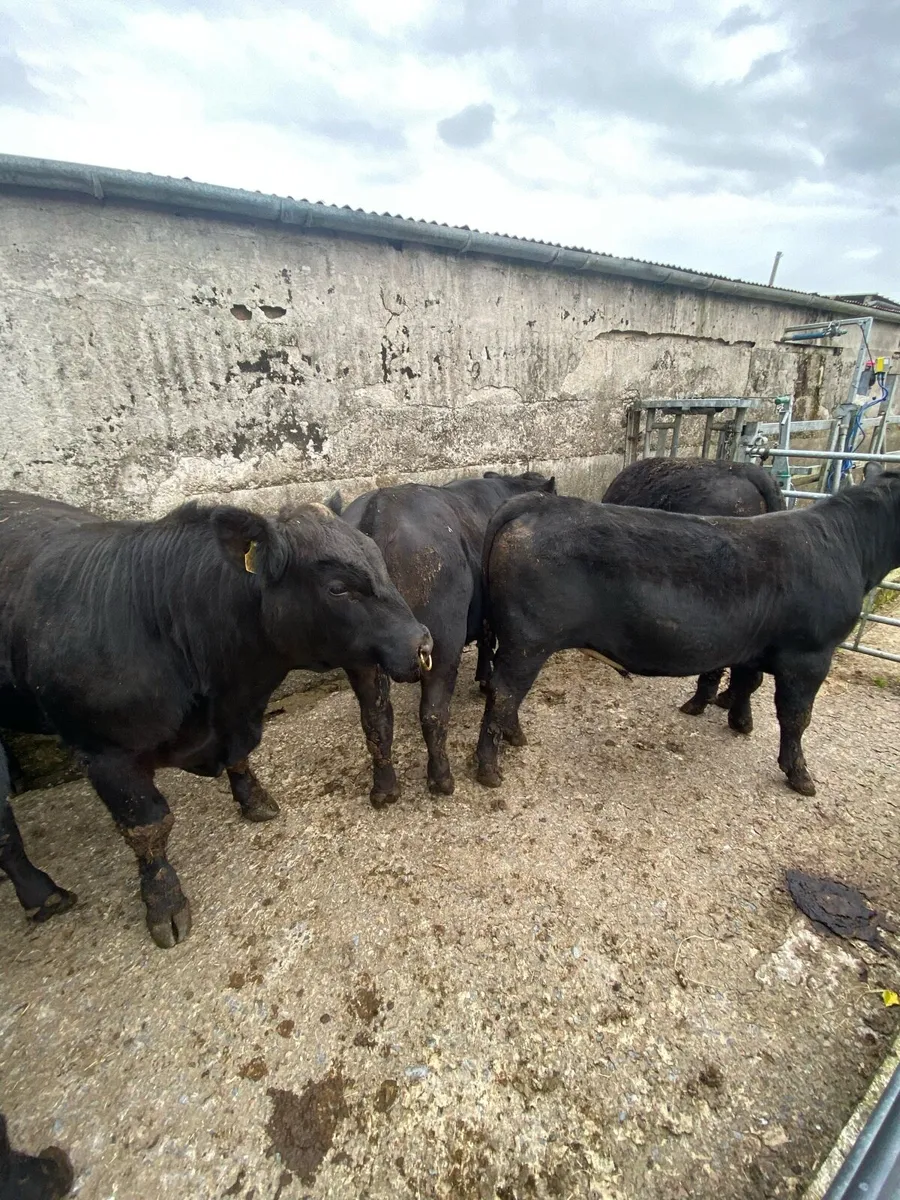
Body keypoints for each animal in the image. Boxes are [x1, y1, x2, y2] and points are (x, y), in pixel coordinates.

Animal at [0, 493, 431, 947]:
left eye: (381, 562)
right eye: (337, 587)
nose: (422, 643)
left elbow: (240, 758)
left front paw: (254, 799)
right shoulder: (105, 753)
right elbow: (148, 827)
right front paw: (165, 904)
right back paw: (41, 894)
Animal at [332, 471, 555, 804]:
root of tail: (380, 508)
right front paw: (486, 681)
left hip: (360, 661)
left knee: (375, 720)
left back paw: (385, 789)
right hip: (443, 639)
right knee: (433, 712)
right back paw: (442, 779)